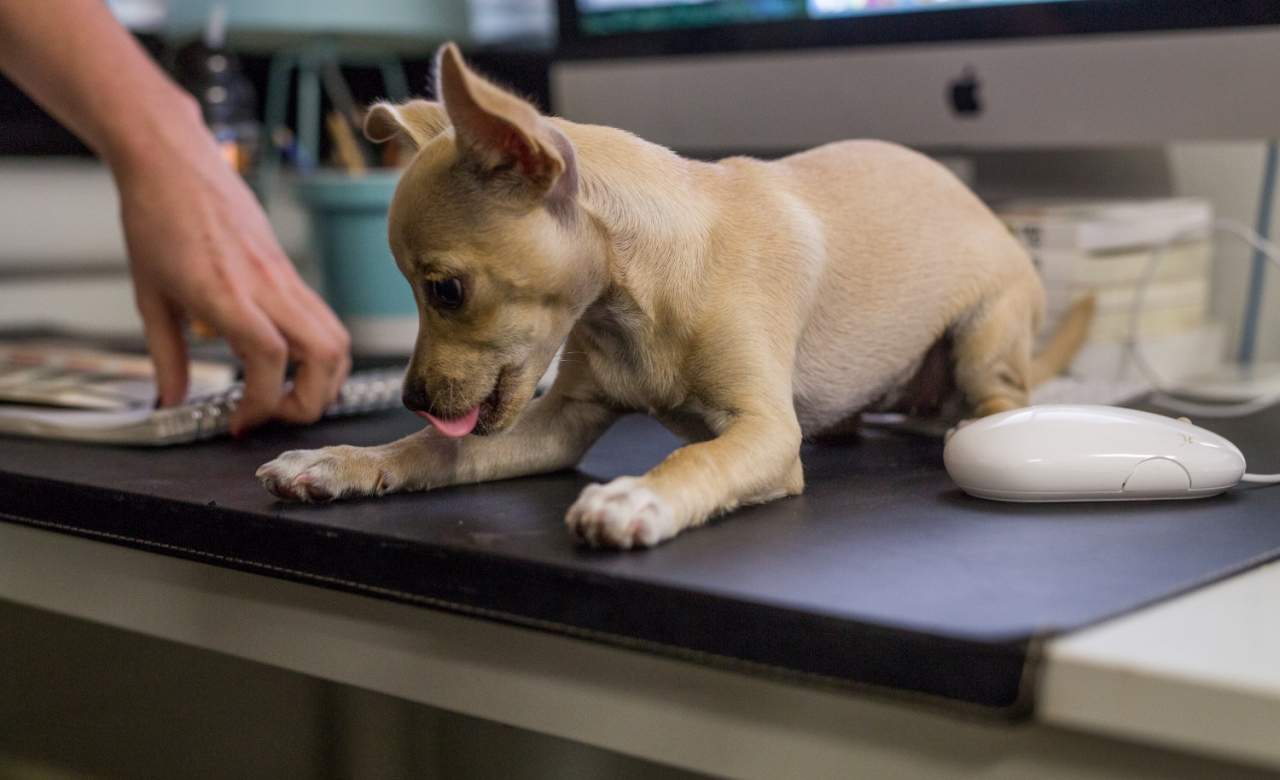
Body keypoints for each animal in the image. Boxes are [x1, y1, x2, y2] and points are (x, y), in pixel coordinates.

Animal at [257, 44, 1090, 548]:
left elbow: (696, 459)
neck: (636, 300)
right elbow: (437, 450)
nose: (413, 397)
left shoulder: (764, 433)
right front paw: (342, 460)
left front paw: (638, 496)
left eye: (447, 291)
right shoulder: (558, 425)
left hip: (985, 341)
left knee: (1001, 395)